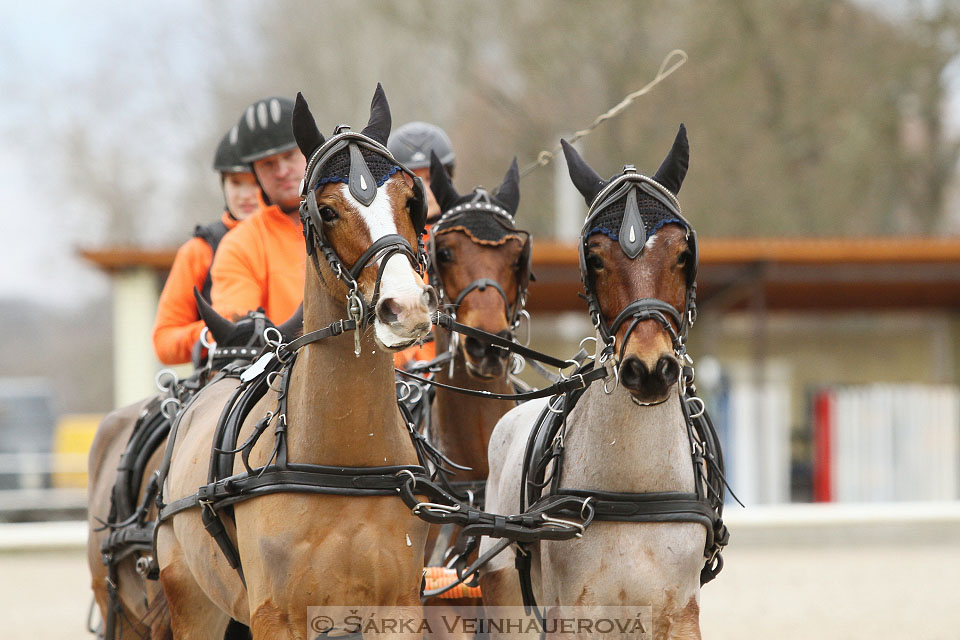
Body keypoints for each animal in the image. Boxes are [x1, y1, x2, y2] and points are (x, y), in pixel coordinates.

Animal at [157, 86, 438, 640]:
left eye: (411, 200)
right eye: (327, 211)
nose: (406, 307)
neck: (346, 463)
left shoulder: (397, 607)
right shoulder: (277, 616)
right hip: (193, 602)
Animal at [480, 127, 728, 636]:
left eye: (683, 253)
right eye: (594, 258)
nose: (649, 369)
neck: (633, 492)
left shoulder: (679, 612)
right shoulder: (573, 613)